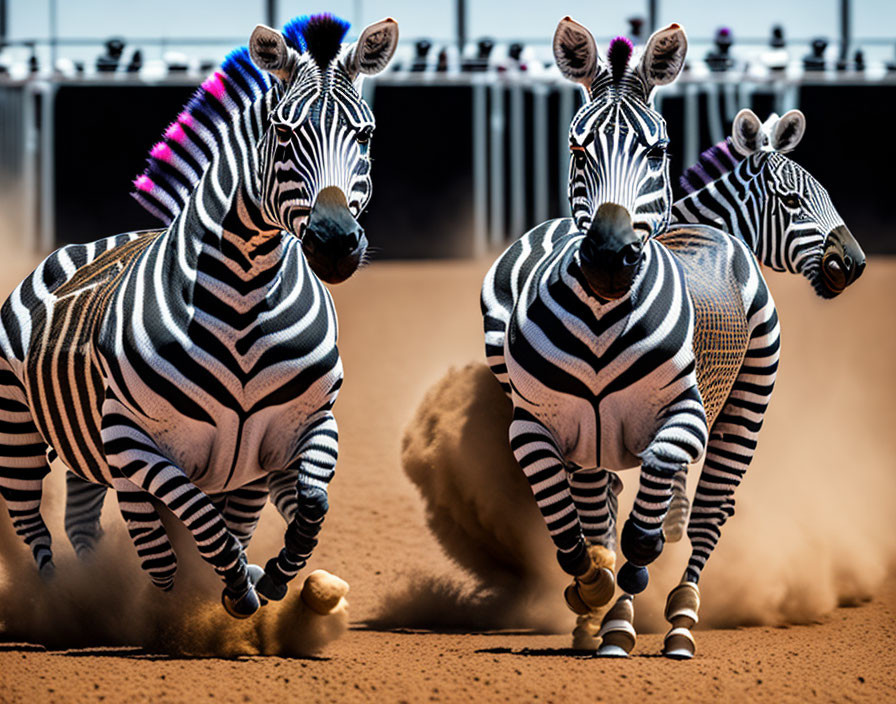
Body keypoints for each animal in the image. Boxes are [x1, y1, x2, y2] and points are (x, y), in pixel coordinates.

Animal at [0, 11, 400, 616]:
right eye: (283, 133)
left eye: (366, 135)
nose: (335, 244)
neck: (246, 297)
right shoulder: (133, 442)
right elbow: (200, 527)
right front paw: (224, 593)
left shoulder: (303, 427)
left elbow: (308, 508)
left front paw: (273, 578)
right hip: (18, 434)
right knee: (38, 530)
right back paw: (66, 604)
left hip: (94, 454)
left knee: (83, 520)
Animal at [480, 17, 780, 660]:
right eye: (577, 148)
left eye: (658, 150)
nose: (607, 259)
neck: (600, 317)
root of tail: (702, 230)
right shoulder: (533, 427)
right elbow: (571, 533)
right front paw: (591, 591)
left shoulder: (683, 420)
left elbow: (643, 538)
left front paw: (621, 603)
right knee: (604, 503)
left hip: (745, 406)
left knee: (708, 513)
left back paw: (678, 622)